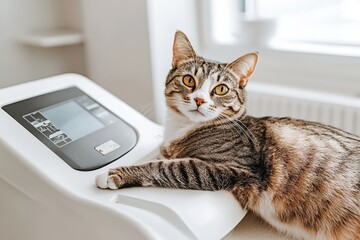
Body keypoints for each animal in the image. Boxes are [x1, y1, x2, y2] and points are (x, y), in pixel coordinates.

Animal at [96, 31, 360, 240]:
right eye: (188, 79)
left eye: (221, 89)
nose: (200, 100)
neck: (183, 128)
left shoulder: (236, 167)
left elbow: (169, 166)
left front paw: (115, 173)